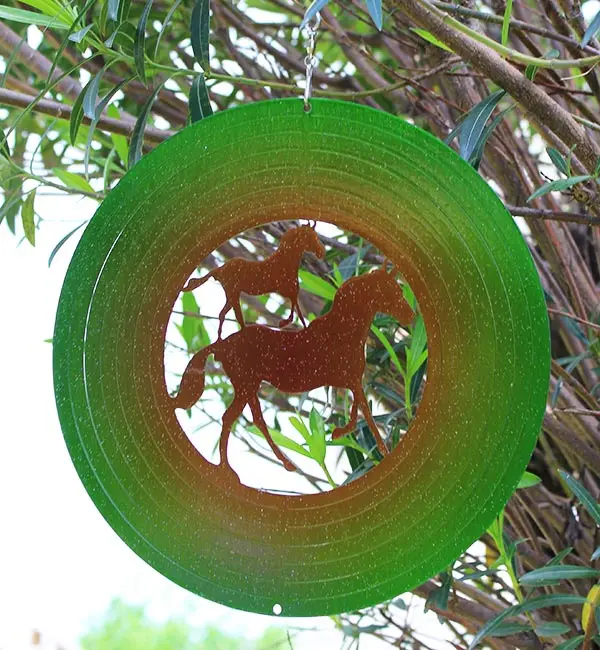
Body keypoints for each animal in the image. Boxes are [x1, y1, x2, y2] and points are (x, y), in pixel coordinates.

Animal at [172, 265, 415, 475]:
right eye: (389, 291)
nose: (411, 316)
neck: (342, 331)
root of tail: (222, 345)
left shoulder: (350, 381)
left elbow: (356, 409)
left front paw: (340, 432)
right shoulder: (352, 380)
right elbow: (365, 412)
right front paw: (382, 450)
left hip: (249, 387)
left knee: (256, 420)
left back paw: (285, 463)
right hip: (245, 386)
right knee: (230, 418)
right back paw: (229, 469)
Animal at [182, 223, 325, 339]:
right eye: (310, 237)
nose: (321, 252)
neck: (285, 261)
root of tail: (220, 269)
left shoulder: (291, 291)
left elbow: (297, 310)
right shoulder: (286, 290)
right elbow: (297, 310)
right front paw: (284, 323)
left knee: (224, 314)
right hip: (232, 293)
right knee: (232, 314)